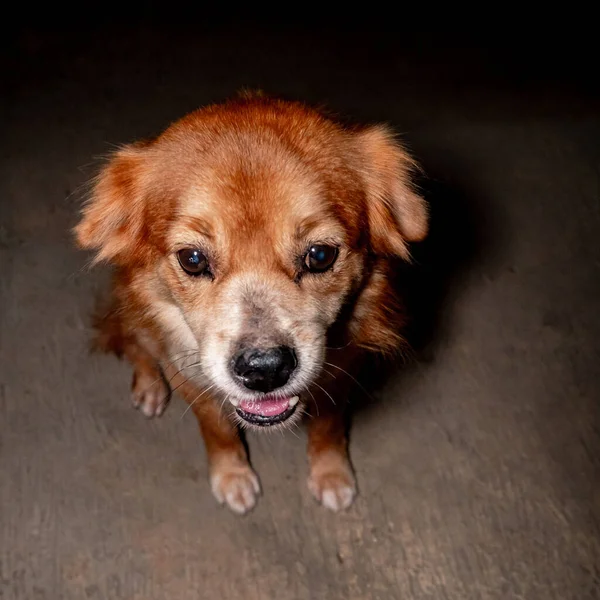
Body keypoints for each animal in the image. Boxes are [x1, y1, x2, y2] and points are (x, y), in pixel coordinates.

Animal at [75, 95, 428, 516]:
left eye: (321, 255)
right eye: (192, 259)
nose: (265, 370)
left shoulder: (341, 372)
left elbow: (327, 429)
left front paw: (330, 474)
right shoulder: (193, 379)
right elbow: (218, 432)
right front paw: (232, 476)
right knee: (136, 346)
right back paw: (149, 385)